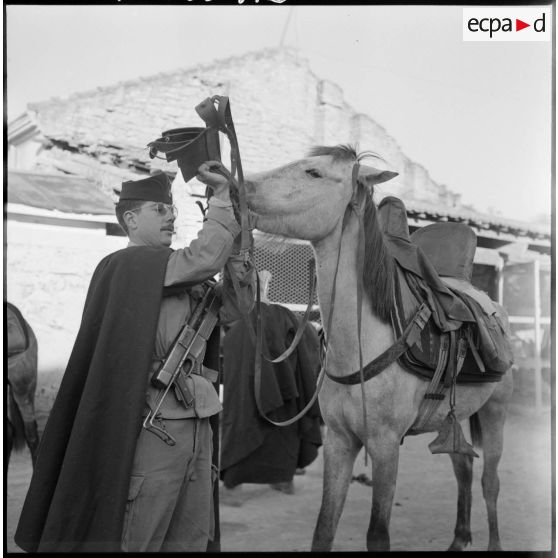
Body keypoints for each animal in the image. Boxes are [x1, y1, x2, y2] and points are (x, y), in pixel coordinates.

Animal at [245, 144, 516, 552]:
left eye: (313, 172)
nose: (239, 185)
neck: (362, 340)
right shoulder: (340, 441)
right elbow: (323, 527)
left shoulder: (385, 445)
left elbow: (378, 534)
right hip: (450, 419)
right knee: (464, 467)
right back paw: (458, 539)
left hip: (494, 411)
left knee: (490, 481)